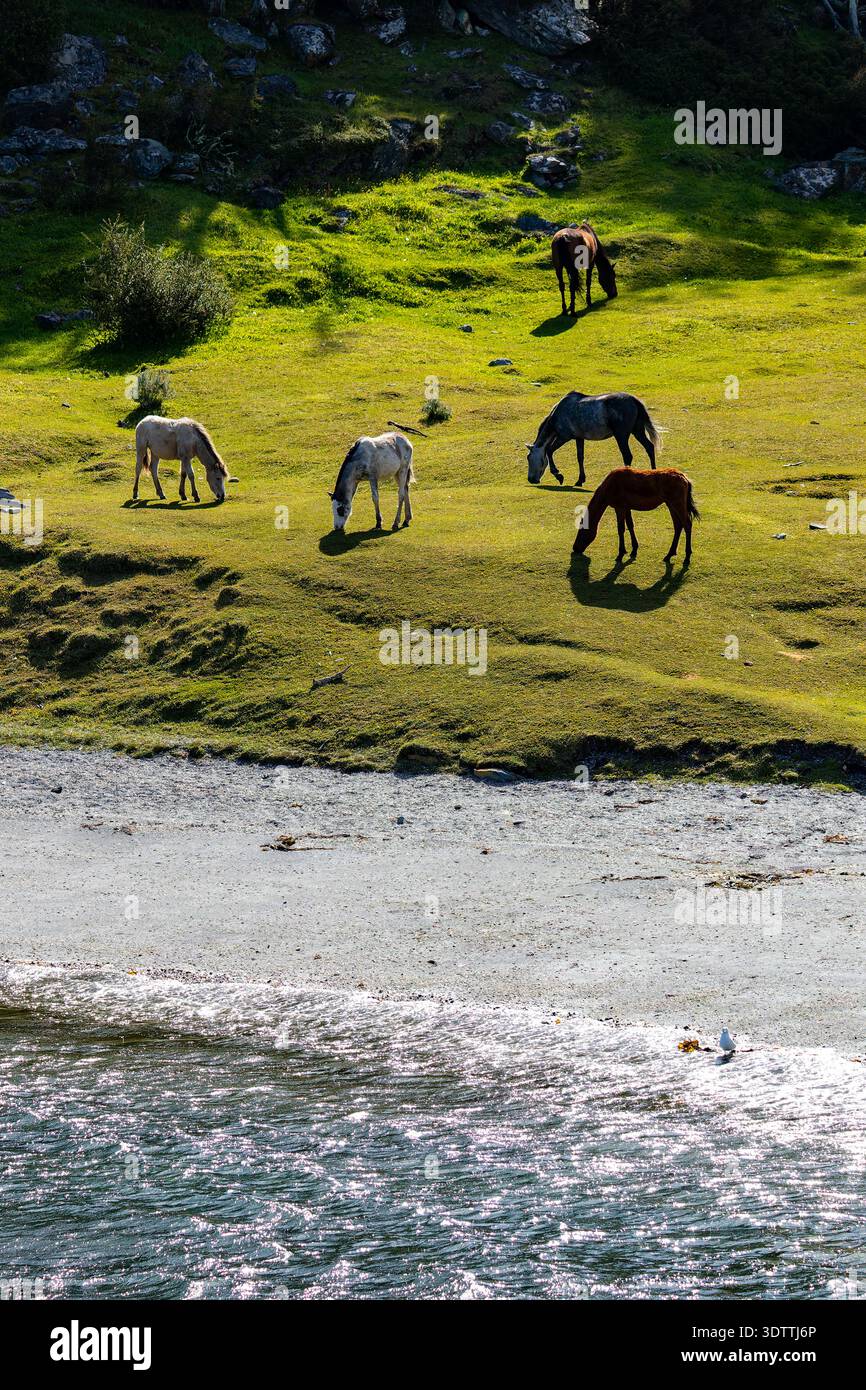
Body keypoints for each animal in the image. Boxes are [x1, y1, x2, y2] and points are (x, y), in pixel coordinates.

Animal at [526, 391, 661, 486]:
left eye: (529, 458)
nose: (530, 479)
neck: (558, 414)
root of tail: (634, 400)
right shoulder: (579, 438)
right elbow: (580, 457)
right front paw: (580, 480)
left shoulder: (564, 437)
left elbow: (549, 450)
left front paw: (558, 475)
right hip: (637, 431)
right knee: (649, 447)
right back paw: (654, 473)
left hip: (621, 435)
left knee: (627, 455)